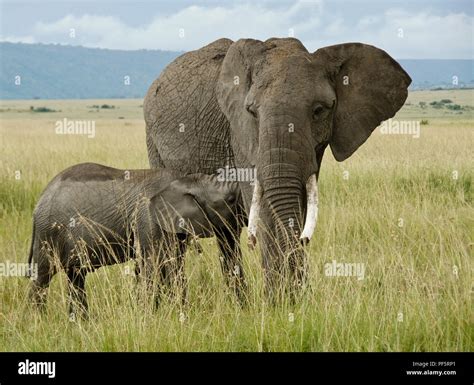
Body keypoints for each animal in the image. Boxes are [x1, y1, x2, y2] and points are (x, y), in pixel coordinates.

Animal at [28, 162, 244, 318]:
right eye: (232, 200)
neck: (186, 180)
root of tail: (39, 201)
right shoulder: (148, 219)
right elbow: (155, 267)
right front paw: (155, 317)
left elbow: (171, 266)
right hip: (49, 232)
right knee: (43, 277)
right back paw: (39, 322)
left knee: (75, 277)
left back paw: (81, 323)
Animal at [143, 36, 412, 300]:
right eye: (252, 111)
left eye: (319, 110)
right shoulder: (241, 136)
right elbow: (264, 208)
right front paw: (281, 302)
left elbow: (299, 207)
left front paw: (296, 299)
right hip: (154, 145)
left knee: (227, 235)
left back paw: (239, 303)